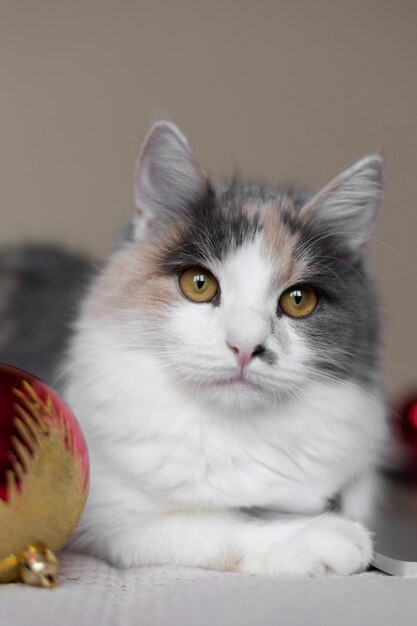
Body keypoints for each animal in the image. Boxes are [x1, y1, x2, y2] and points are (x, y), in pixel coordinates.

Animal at [0, 123, 386, 576]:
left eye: (298, 300)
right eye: (199, 284)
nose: (245, 346)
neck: (233, 435)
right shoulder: (113, 519)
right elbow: (219, 523)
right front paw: (325, 535)